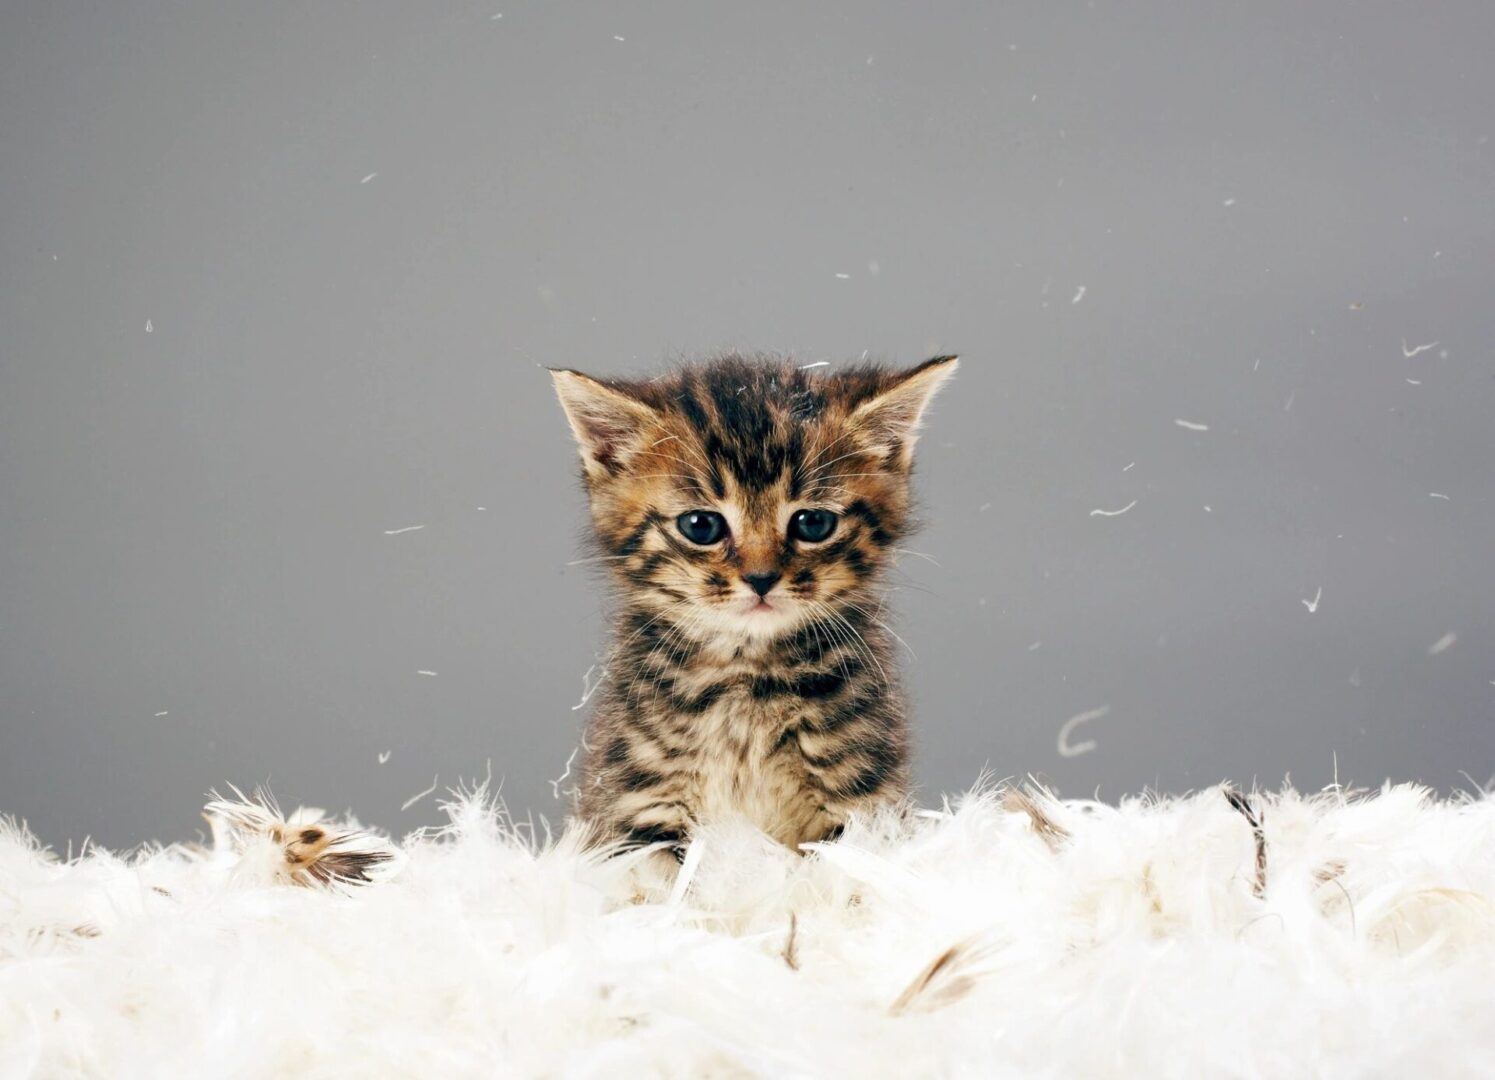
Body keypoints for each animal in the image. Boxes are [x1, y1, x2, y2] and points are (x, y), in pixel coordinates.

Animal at [550, 353, 956, 849]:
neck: (747, 676)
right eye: (701, 526)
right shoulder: (635, 801)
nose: (761, 578)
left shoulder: (860, 800)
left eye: (813, 523)